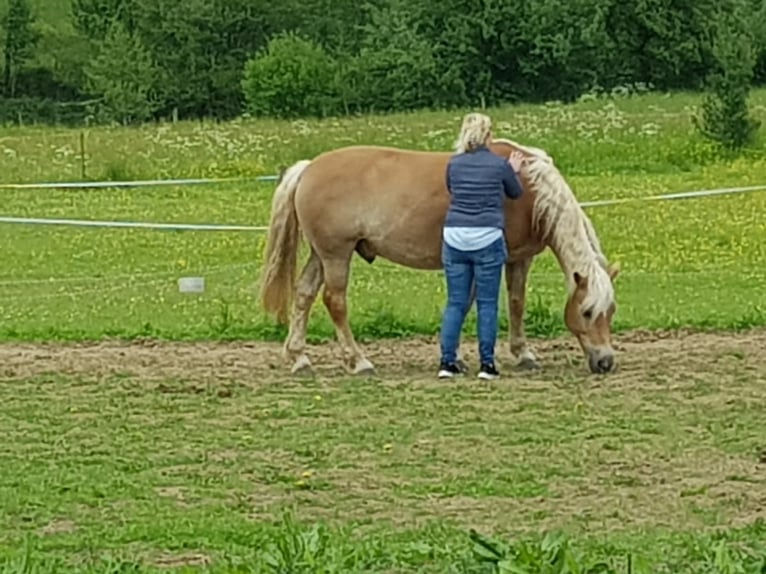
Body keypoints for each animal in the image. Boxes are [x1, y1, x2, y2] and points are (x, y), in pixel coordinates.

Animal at [260, 139, 620, 378]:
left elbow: (514, 302)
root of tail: (308, 168)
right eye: (587, 312)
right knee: (334, 301)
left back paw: (299, 358)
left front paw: (520, 354)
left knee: (304, 295)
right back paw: (358, 361)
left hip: (321, 255)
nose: (605, 362)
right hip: (336, 255)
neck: (530, 191)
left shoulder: (518, 258)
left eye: (611, 311)